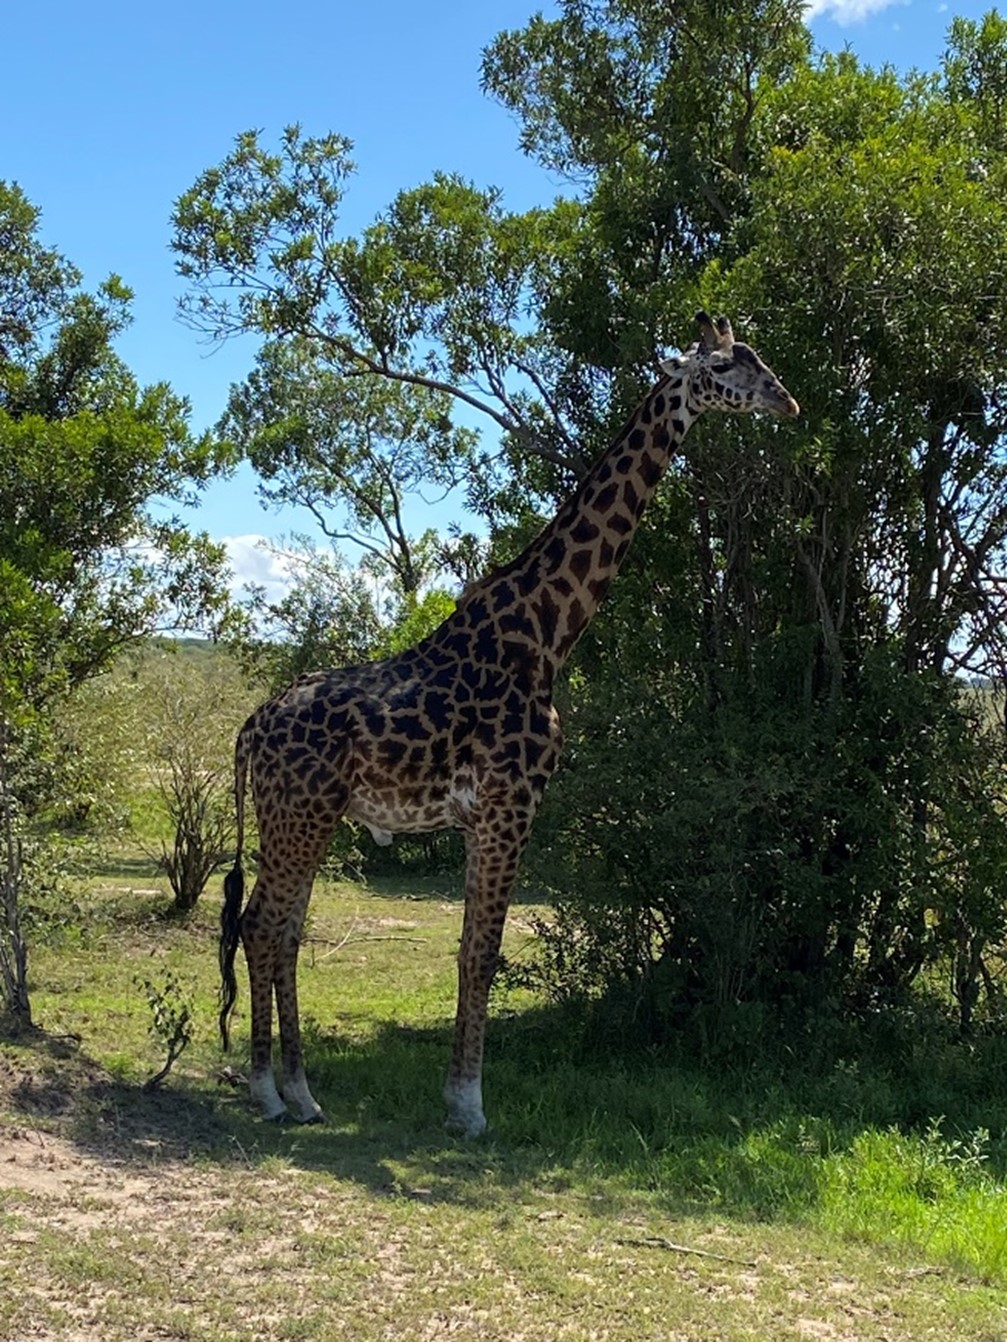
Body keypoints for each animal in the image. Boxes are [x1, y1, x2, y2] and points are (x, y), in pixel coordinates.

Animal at [217, 311, 800, 1132]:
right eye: (724, 366)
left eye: (758, 359)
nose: (788, 402)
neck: (547, 633)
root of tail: (250, 727)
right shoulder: (511, 805)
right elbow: (483, 954)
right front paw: (469, 1108)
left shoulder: (481, 816)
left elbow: (470, 950)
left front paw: (454, 1099)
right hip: (299, 813)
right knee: (263, 926)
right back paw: (270, 1090)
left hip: (305, 816)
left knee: (282, 929)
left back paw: (300, 1093)